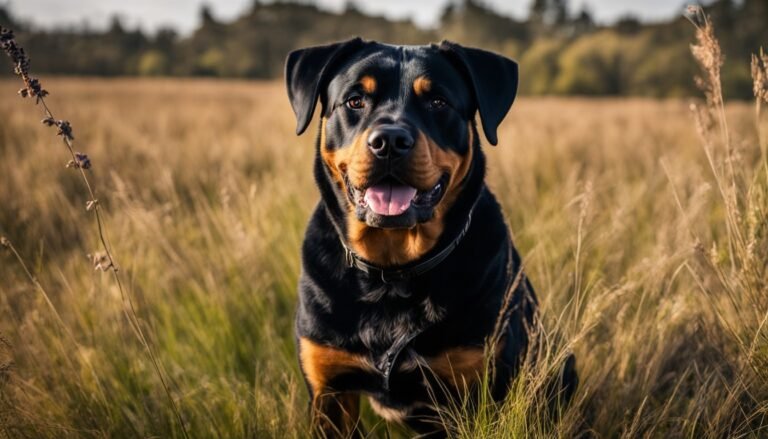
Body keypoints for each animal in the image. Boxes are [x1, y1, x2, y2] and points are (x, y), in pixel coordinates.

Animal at [284, 39, 572, 438]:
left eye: (438, 101)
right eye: (355, 100)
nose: (389, 140)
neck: (392, 274)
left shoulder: (477, 389)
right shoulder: (330, 391)